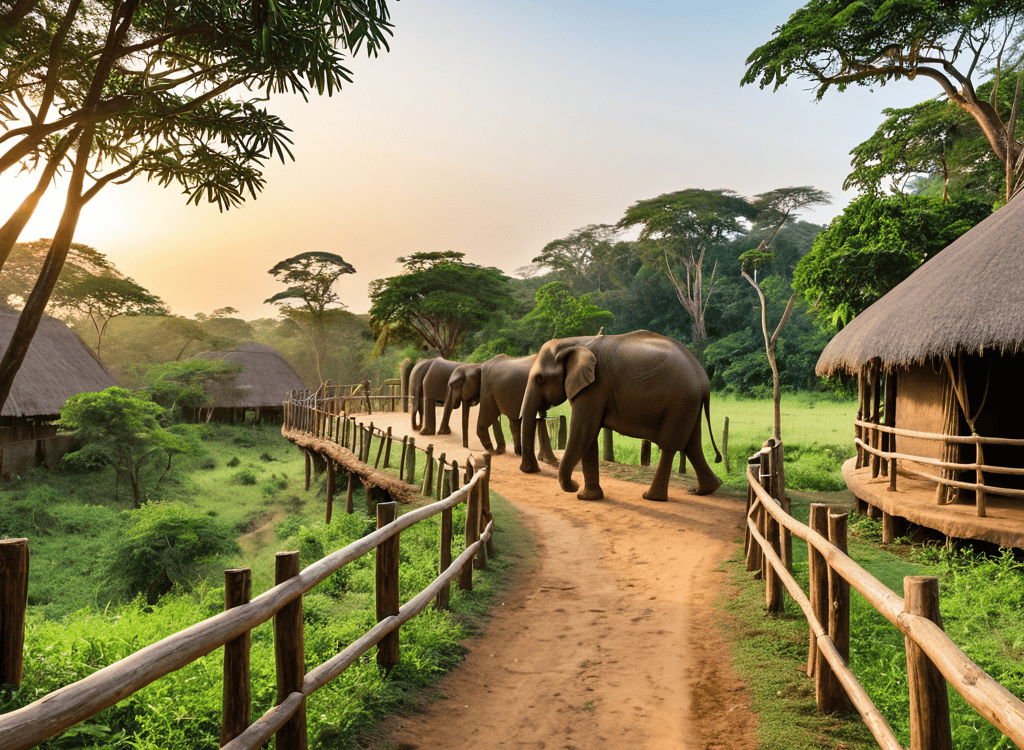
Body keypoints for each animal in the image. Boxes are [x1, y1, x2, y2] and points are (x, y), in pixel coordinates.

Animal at [519, 330, 722, 501]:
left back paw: (651, 497)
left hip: (680, 402)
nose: (530, 470)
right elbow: (589, 436)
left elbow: (584, 430)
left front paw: (580, 494)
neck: (573, 342)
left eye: (540, 379)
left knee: (671, 445)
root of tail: (704, 380)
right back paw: (704, 489)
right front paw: (588, 497)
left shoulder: (595, 386)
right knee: (692, 445)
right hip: (689, 404)